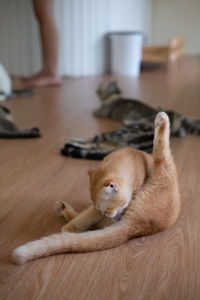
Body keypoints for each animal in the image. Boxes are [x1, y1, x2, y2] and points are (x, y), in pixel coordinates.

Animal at [12, 111, 181, 264]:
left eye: (107, 209)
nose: (107, 214)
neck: (129, 158)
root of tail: (136, 227)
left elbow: (85, 219)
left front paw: (68, 230)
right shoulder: (97, 208)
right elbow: (88, 217)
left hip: (163, 168)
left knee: (161, 146)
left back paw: (162, 119)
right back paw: (62, 208)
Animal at [61, 79, 200, 159]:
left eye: (100, 87)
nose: (96, 90)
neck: (114, 96)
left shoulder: (100, 112)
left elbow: (95, 112)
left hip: (114, 132)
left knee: (94, 141)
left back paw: (72, 142)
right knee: (97, 145)